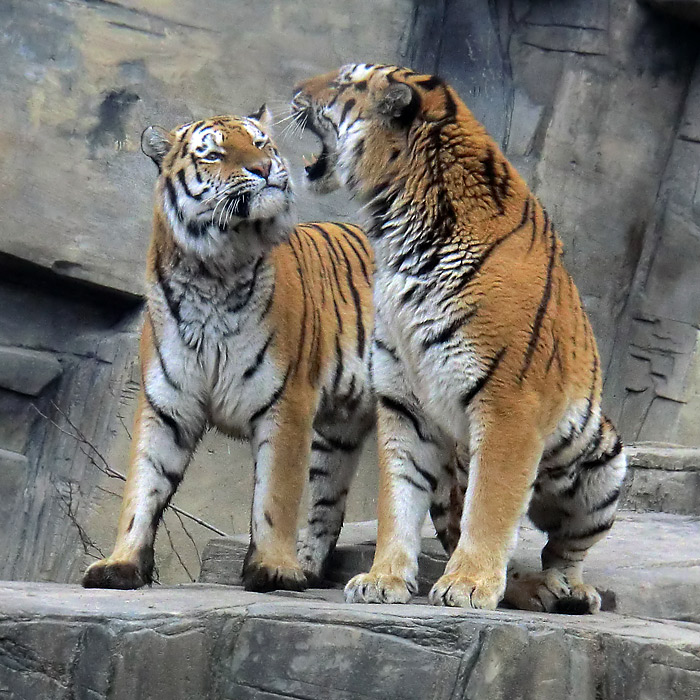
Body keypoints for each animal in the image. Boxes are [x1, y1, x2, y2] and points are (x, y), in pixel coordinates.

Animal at [80, 108, 378, 592]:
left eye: (260, 144)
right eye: (214, 154)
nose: (264, 168)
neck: (213, 271)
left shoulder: (286, 401)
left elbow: (275, 494)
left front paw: (272, 568)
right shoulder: (167, 404)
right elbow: (142, 485)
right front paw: (119, 564)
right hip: (338, 433)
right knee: (328, 504)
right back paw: (311, 569)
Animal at [290, 65, 628, 612]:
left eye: (343, 81)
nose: (295, 92)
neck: (399, 229)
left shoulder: (509, 404)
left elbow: (490, 506)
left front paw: (468, 585)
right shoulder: (403, 400)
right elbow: (398, 496)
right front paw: (383, 579)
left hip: (602, 458)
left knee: (561, 549)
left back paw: (567, 592)